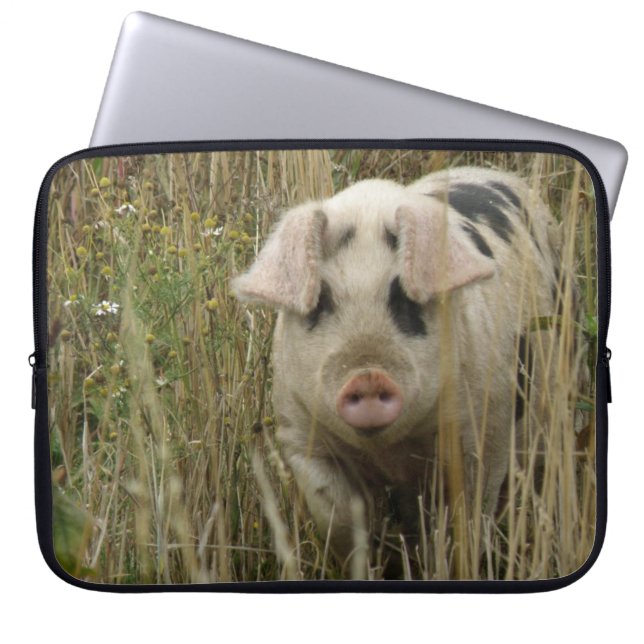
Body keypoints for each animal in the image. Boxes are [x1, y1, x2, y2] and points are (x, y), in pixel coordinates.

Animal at [233, 167, 564, 566]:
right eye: (321, 301)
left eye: (405, 297)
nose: (368, 376)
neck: (390, 452)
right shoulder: (301, 436)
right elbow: (337, 518)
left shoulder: (487, 430)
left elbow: (468, 517)